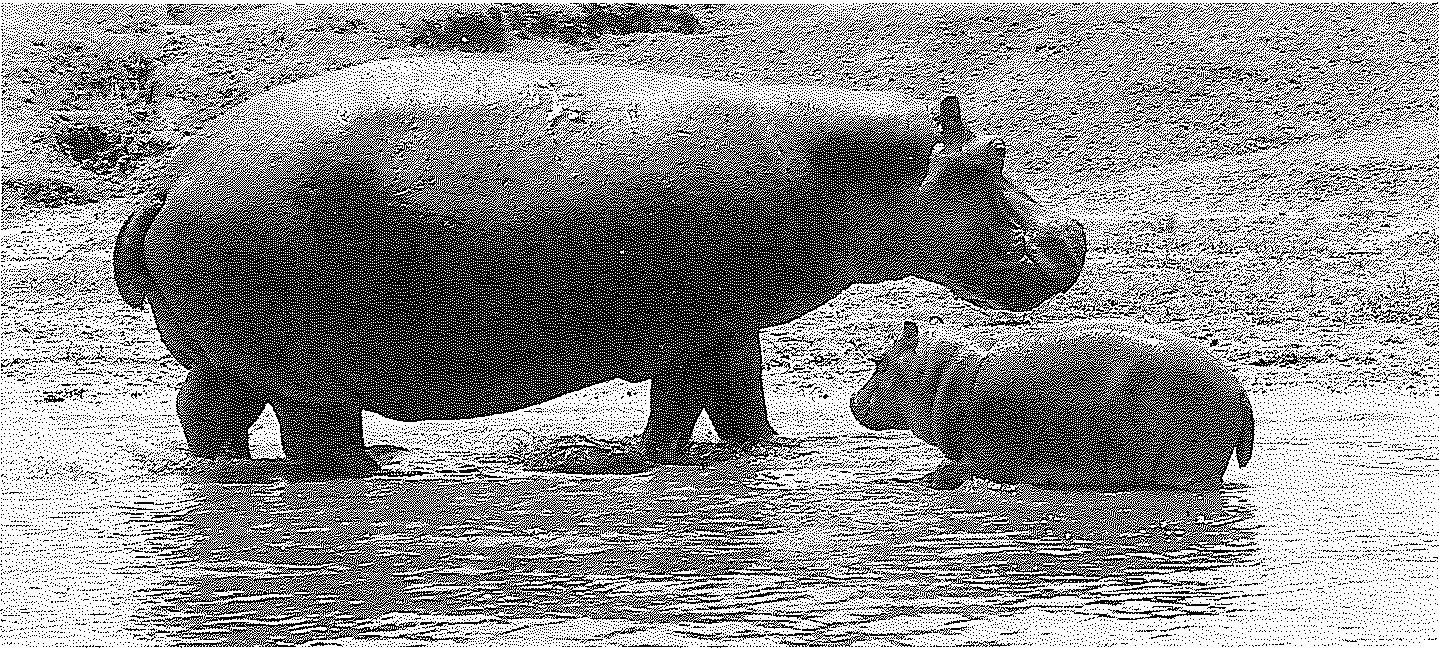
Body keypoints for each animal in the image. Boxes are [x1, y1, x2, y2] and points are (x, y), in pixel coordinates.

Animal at [113, 57, 1086, 477]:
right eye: (991, 155)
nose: (1072, 235)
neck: (848, 168)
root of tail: (171, 177)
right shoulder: (703, 322)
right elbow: (699, 398)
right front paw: (683, 456)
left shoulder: (722, 321)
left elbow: (732, 400)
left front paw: (769, 453)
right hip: (305, 364)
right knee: (311, 434)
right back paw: (370, 472)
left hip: (230, 354)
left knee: (204, 411)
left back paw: (239, 472)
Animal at [851, 319, 1254, 491]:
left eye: (882, 360)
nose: (853, 399)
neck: (938, 374)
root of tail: (1238, 386)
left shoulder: (985, 453)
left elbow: (952, 471)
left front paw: (924, 480)